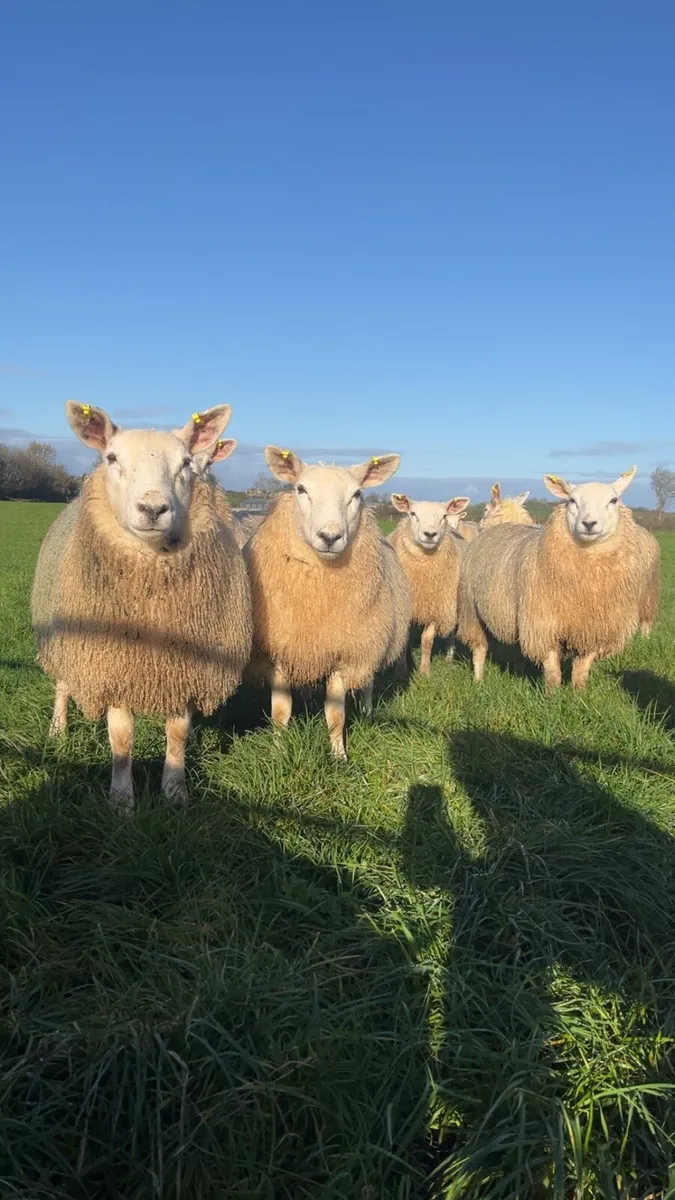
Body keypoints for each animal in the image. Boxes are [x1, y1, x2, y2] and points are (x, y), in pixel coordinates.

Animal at [31, 401, 252, 809]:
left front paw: (175, 791)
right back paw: (57, 729)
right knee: (63, 684)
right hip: (64, 637)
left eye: (186, 462)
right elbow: (121, 738)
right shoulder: (114, 663)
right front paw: (121, 799)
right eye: (111, 457)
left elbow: (178, 733)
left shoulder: (184, 666)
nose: (153, 508)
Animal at [244, 447, 411, 758]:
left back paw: (367, 711)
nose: (330, 536)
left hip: (370, 639)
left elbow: (336, 714)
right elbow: (280, 712)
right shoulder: (281, 652)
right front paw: (278, 751)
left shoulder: (342, 652)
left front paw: (338, 755)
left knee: (367, 681)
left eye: (357, 494)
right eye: (300, 489)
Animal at [388, 493, 471, 674]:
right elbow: (403, 640)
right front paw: (401, 670)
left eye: (444, 516)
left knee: (450, 632)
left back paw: (449, 657)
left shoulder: (436, 605)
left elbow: (427, 640)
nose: (430, 534)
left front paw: (425, 671)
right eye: (413, 514)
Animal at [457, 468, 660, 693]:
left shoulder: (592, 629)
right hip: (471, 610)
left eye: (613, 500)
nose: (589, 523)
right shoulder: (543, 625)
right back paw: (478, 680)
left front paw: (578, 694)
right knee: (480, 648)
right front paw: (552, 695)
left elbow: (582, 669)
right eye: (572, 500)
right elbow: (552, 670)